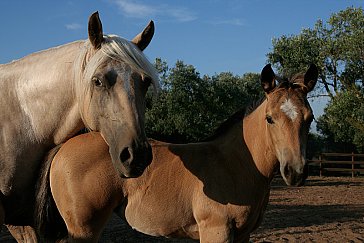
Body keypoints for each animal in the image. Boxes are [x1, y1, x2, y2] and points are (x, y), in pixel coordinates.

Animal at [35, 63, 318, 242]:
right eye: (270, 118)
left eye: (310, 118)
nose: (295, 172)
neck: (237, 165)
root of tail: (65, 145)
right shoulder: (216, 231)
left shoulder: (243, 235)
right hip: (83, 229)